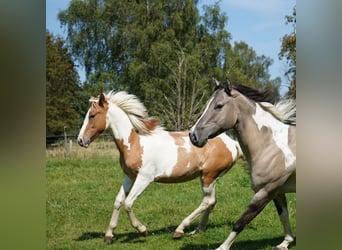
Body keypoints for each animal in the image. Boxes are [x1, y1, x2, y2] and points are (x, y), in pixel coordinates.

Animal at [77, 91, 243, 243]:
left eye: (92, 115)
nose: (80, 140)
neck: (134, 144)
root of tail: (231, 142)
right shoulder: (129, 176)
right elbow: (118, 201)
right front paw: (109, 235)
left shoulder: (144, 178)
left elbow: (128, 203)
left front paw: (142, 230)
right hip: (211, 177)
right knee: (212, 201)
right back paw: (198, 230)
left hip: (208, 176)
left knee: (207, 201)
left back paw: (179, 230)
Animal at [188, 79, 296, 249]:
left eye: (219, 106)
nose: (193, 136)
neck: (271, 145)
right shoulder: (277, 191)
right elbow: (284, 216)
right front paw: (286, 242)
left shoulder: (265, 191)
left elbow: (241, 222)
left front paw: (222, 247)